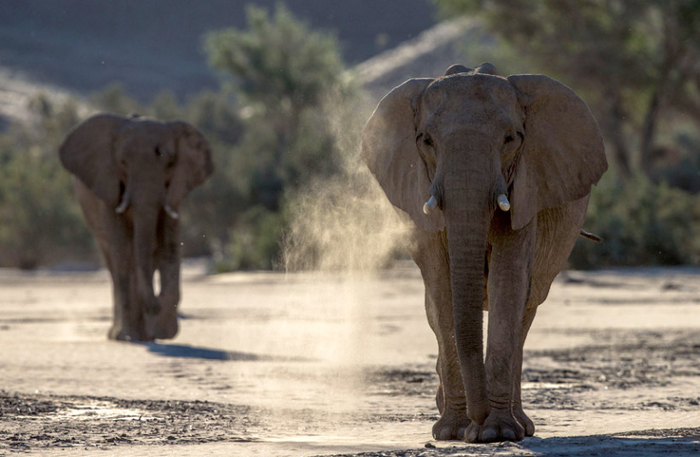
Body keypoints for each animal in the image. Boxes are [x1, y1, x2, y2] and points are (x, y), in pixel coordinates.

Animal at [59, 114, 213, 342]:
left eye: (170, 163)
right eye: (123, 163)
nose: (156, 303)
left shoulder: (174, 192)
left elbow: (169, 247)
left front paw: (164, 332)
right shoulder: (107, 185)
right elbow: (122, 248)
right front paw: (131, 335)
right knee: (115, 261)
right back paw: (122, 335)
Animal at [360, 64, 608, 442]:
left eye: (511, 139)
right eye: (426, 140)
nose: (475, 422)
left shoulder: (527, 188)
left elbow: (508, 284)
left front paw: (495, 432)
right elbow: (442, 290)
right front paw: (453, 431)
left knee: (526, 311)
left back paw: (522, 426)